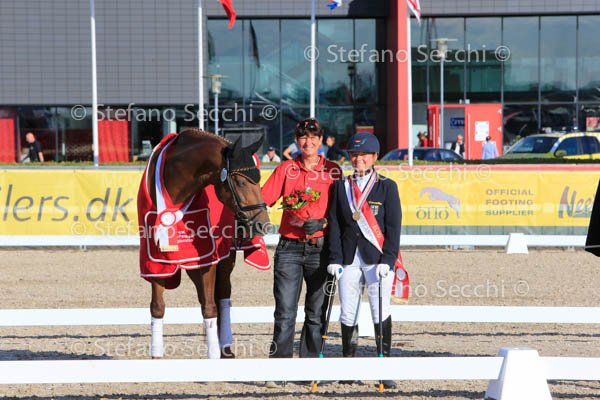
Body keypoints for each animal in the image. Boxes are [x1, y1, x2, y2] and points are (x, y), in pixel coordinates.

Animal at [137, 128, 270, 359]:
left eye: (259, 181)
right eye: (241, 182)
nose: (263, 224)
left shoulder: (207, 261)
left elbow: (209, 307)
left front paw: (214, 355)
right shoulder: (157, 262)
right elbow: (157, 307)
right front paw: (156, 356)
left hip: (225, 260)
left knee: (222, 297)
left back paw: (225, 347)